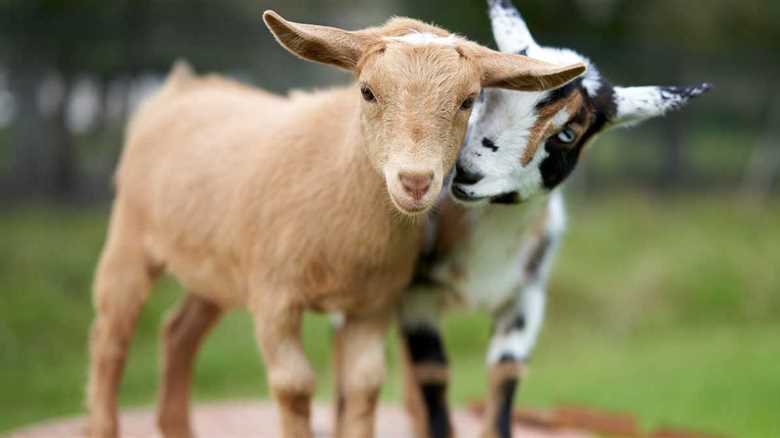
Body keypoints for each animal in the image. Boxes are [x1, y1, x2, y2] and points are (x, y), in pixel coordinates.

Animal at [85, 9, 585, 438]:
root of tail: (182, 87)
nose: (416, 181)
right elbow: (294, 385)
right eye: (366, 91)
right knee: (111, 337)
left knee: (178, 332)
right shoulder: (274, 297)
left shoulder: (373, 304)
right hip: (129, 236)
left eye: (468, 100)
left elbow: (364, 385)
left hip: (218, 269)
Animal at [398, 1, 711, 437]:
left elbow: (506, 372)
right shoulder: (416, 295)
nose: (467, 173)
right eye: (483, 94)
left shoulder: (526, 297)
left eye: (567, 135)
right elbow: (433, 373)